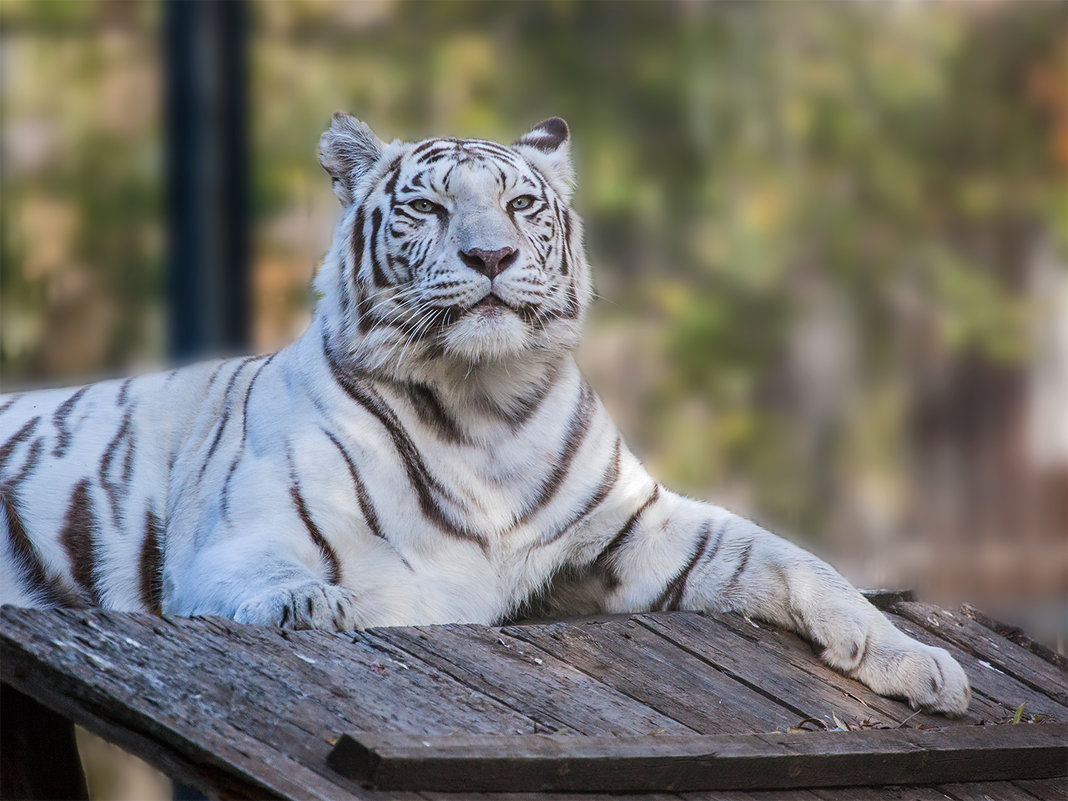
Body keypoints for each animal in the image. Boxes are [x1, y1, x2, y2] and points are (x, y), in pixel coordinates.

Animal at [0, 114, 969, 713]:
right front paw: (319, 605)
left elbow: (802, 565)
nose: (492, 255)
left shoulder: (641, 527)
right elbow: (301, 583)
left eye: (520, 204)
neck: (485, 409)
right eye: (429, 207)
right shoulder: (234, 542)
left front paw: (920, 663)